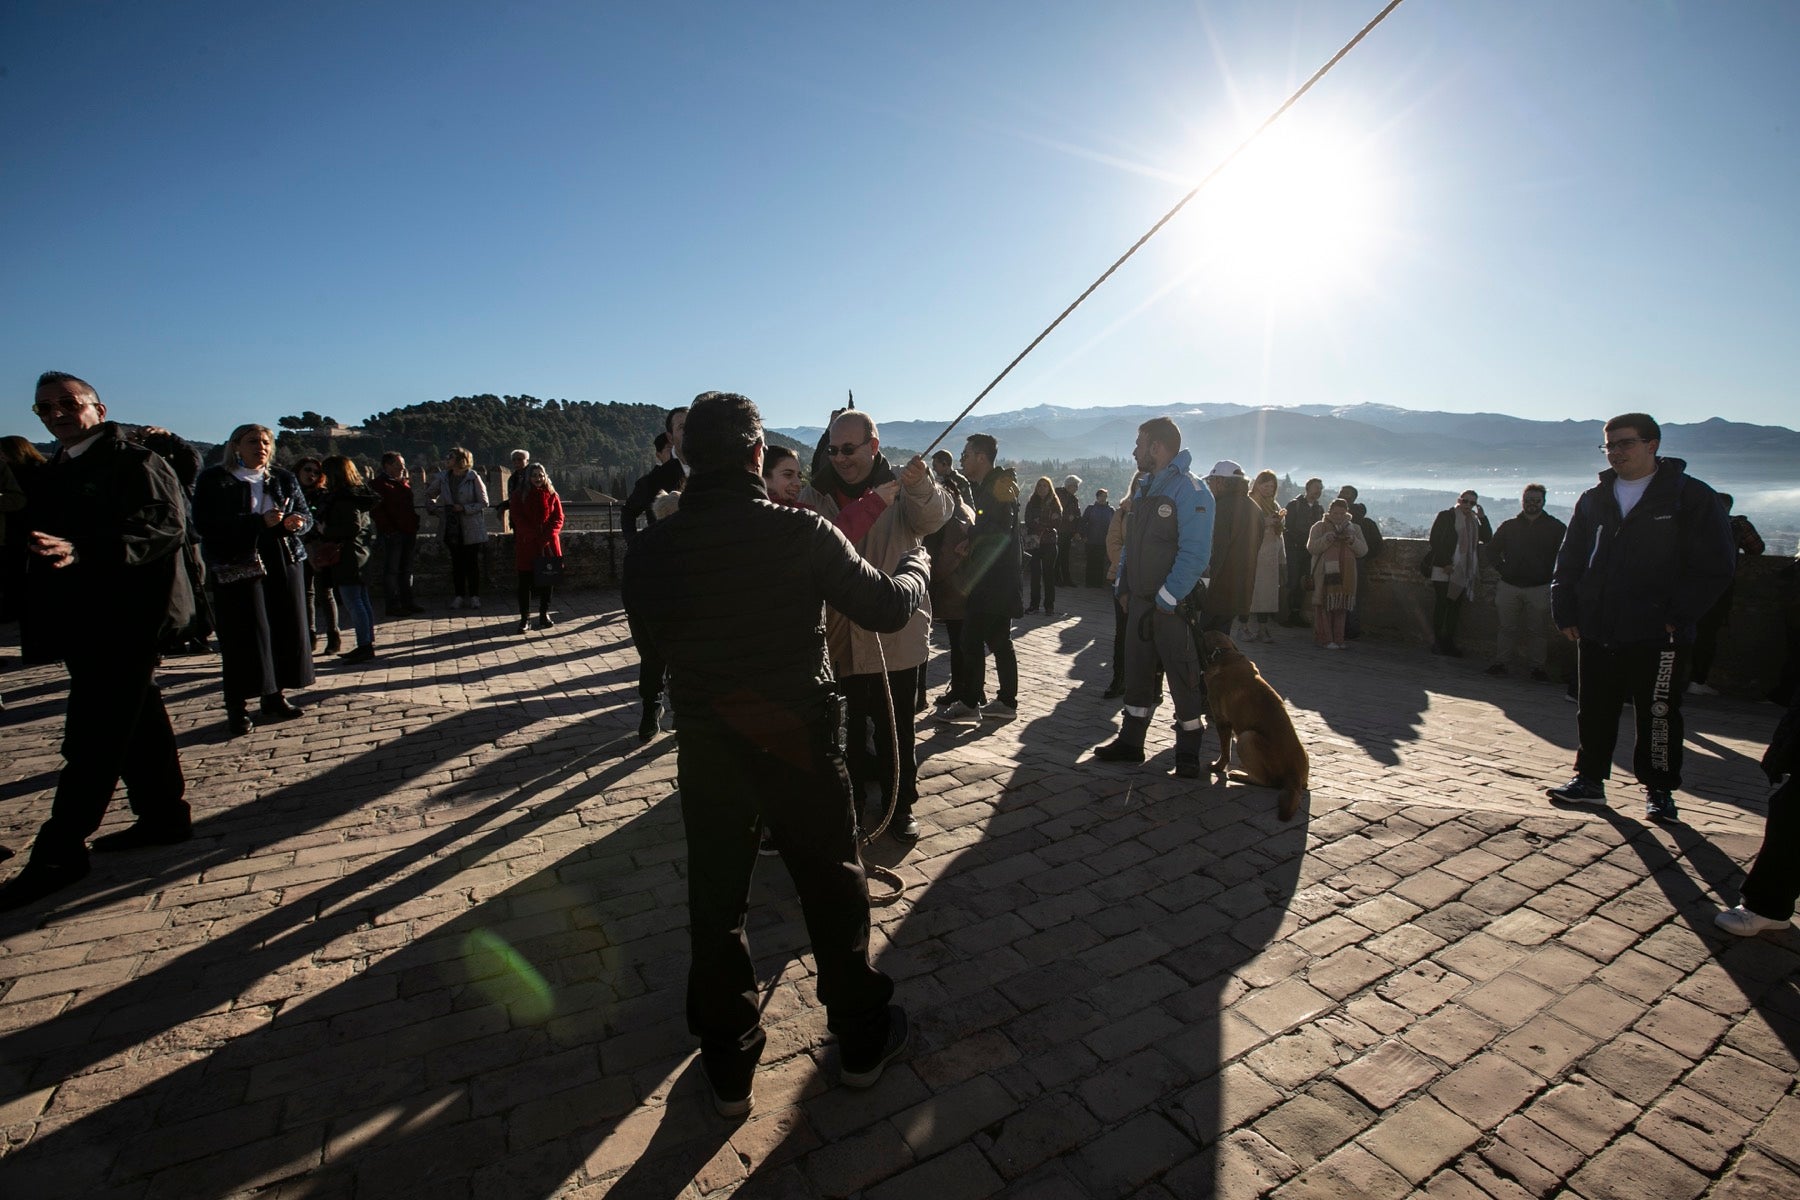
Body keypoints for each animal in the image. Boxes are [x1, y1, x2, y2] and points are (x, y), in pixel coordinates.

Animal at [1195, 633, 1310, 820]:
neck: (1225, 654)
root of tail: (1293, 777)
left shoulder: (1222, 721)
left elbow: (1225, 752)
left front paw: (1218, 767)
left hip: (1247, 737)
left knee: (1266, 781)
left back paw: (1238, 775)